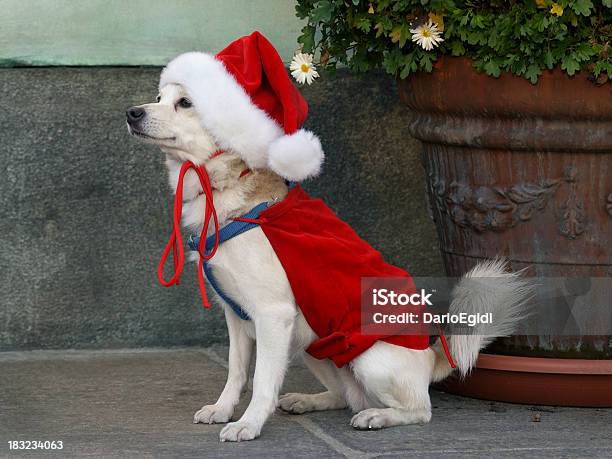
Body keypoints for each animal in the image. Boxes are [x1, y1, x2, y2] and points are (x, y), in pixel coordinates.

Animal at [128, 84, 532, 444]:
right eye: (159, 97)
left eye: (185, 102)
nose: (132, 113)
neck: (225, 191)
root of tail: (432, 357)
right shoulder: (237, 316)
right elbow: (237, 371)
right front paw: (223, 409)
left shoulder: (272, 315)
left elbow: (262, 382)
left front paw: (249, 424)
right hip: (313, 344)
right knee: (345, 397)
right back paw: (308, 401)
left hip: (368, 356)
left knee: (419, 410)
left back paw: (378, 416)